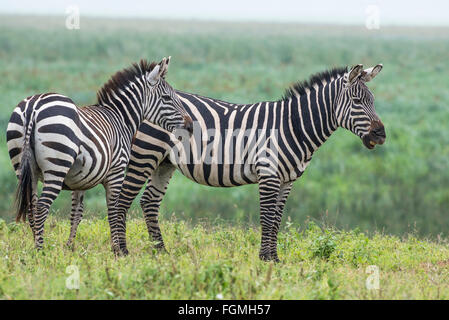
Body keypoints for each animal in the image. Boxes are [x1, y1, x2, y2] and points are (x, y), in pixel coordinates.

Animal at [6, 57, 192, 252]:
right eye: (167, 98)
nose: (190, 125)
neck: (121, 119)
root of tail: (33, 106)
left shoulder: (79, 180)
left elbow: (77, 214)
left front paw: (70, 248)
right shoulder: (116, 172)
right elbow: (113, 211)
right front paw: (119, 251)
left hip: (23, 166)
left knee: (31, 207)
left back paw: (35, 249)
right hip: (57, 165)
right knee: (41, 207)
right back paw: (40, 251)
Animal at [65, 63, 384, 262]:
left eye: (373, 101)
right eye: (358, 102)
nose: (381, 134)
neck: (291, 126)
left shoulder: (288, 180)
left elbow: (277, 219)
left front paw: (276, 258)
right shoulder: (269, 174)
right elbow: (267, 217)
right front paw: (265, 259)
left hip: (164, 163)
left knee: (148, 202)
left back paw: (161, 252)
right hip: (144, 155)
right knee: (122, 202)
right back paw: (122, 252)